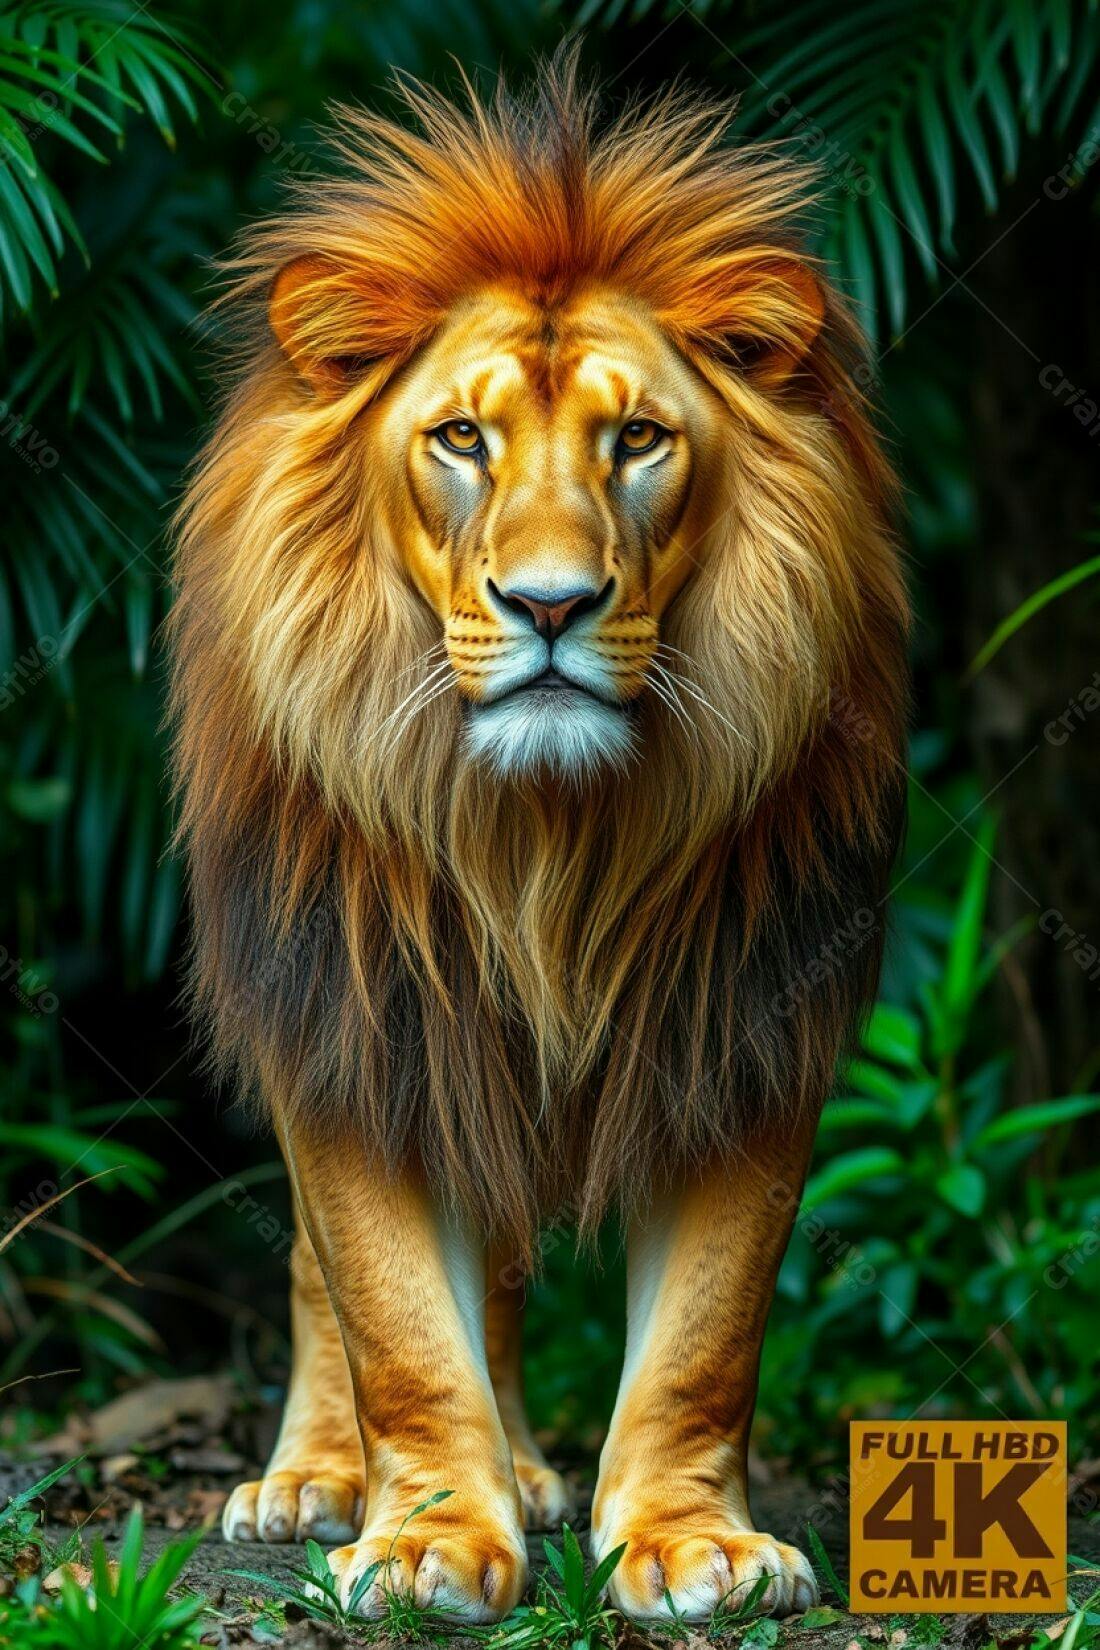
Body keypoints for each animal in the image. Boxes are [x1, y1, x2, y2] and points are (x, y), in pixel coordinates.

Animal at [170, 53, 907, 1625]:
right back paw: (317, 1477)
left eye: (638, 438)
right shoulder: (368, 1017)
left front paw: (692, 1543)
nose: (553, 604)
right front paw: (429, 1538)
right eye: (462, 437)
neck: (542, 842)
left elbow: (703, 1335)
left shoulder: (743, 1019)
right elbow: (387, 1311)